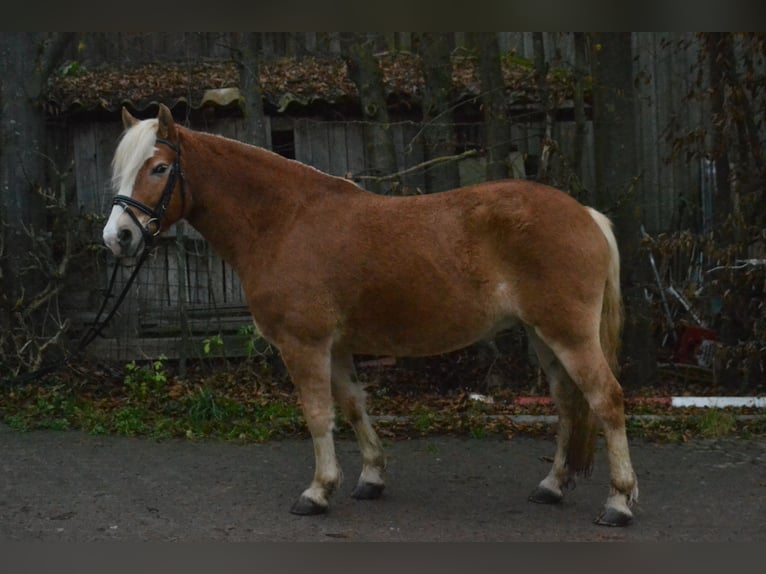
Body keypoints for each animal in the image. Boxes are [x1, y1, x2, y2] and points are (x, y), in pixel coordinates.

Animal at [103, 106, 640, 528]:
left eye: (158, 168)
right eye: (122, 171)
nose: (118, 237)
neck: (284, 222)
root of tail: (586, 215)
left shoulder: (304, 344)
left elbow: (318, 414)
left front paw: (318, 491)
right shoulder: (336, 346)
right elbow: (354, 406)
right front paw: (371, 477)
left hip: (569, 334)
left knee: (606, 400)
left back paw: (618, 502)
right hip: (543, 336)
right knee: (569, 403)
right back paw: (551, 485)